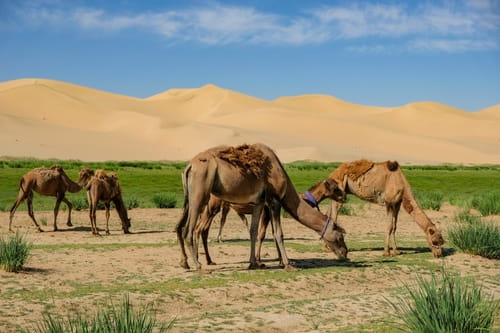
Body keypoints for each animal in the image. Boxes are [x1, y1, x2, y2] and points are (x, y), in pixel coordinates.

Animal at [176, 142, 348, 270]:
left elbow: (254, 231)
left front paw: (254, 263)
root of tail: (190, 166)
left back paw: (187, 262)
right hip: (201, 194)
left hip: (190, 197)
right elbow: (278, 233)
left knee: (182, 226)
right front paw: (287, 264)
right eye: (340, 236)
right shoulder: (274, 200)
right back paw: (199, 265)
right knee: (192, 229)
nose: (345, 253)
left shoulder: (258, 203)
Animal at [312, 160, 446, 258]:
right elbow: (389, 226)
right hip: (340, 190)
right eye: (435, 241)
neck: (402, 184)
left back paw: (326, 247)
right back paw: (329, 248)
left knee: (328, 213)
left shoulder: (397, 203)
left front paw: (396, 251)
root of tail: (333, 173)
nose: (438, 255)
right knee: (334, 215)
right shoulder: (389, 202)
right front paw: (386, 252)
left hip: (335, 194)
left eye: (442, 241)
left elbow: (395, 227)